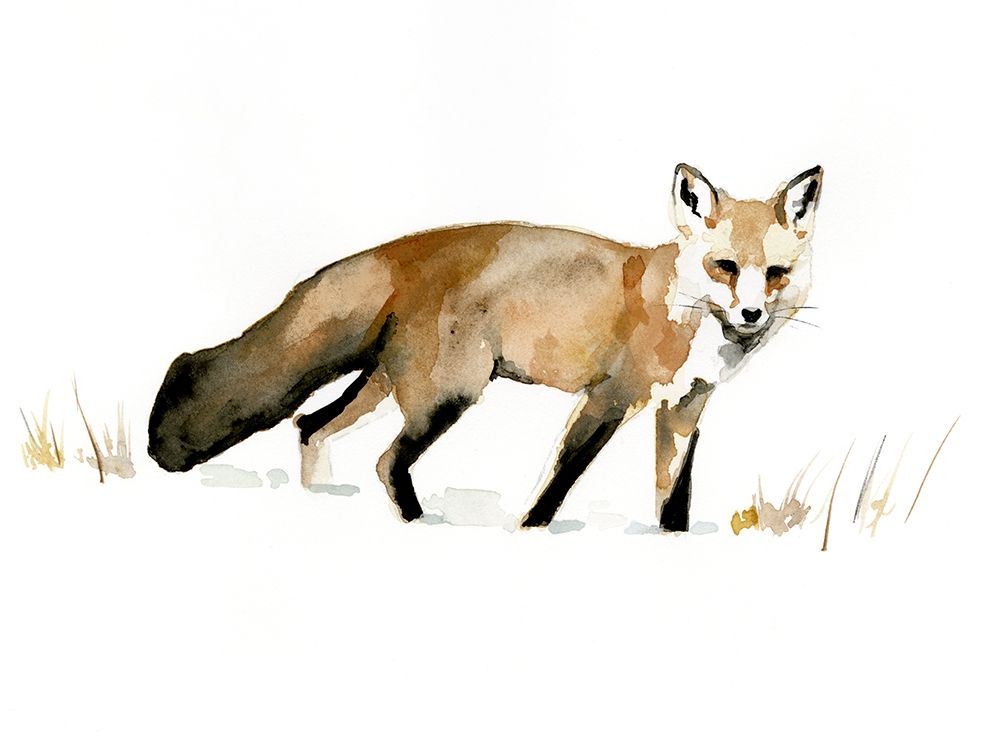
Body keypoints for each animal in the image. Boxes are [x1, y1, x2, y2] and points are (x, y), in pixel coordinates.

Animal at [148, 163, 822, 531]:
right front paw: (529, 535)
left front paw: (670, 547)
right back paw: (419, 528)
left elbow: (672, 501)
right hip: (447, 394)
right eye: (725, 266)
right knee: (385, 462)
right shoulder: (609, 397)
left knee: (310, 425)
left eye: (775, 274)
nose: (752, 314)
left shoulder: (682, 411)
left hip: (385, 386)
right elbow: (557, 484)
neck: (682, 311)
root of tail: (405, 250)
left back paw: (319, 503)